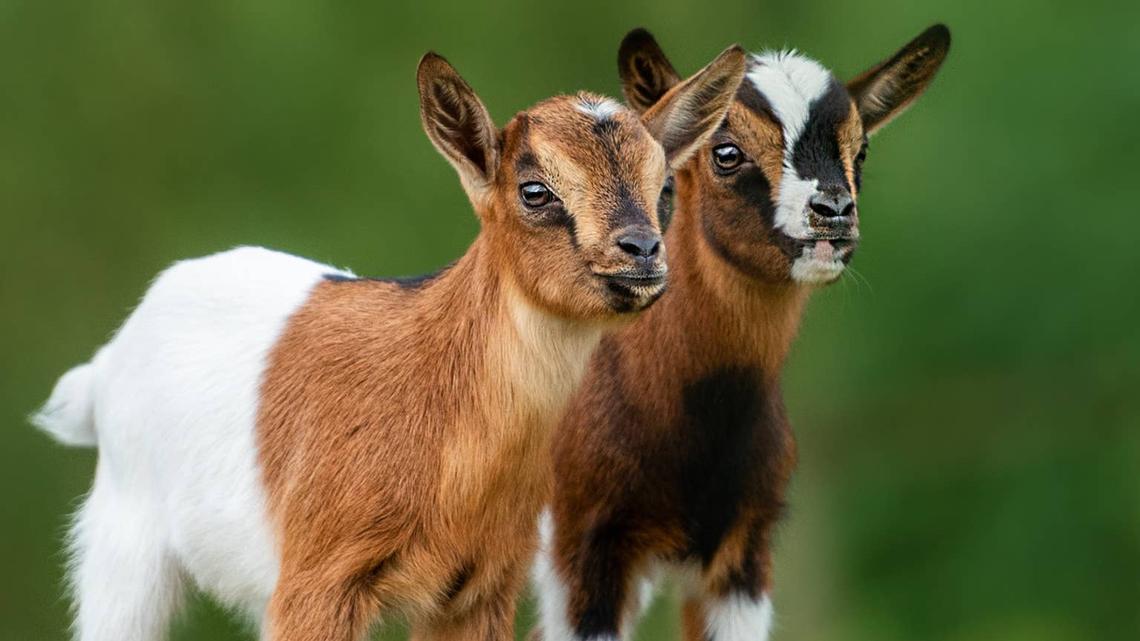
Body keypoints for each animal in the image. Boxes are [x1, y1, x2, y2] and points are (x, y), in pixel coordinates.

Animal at [32, 49, 747, 641]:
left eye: (664, 189)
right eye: (535, 191)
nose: (642, 252)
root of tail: (110, 361)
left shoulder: (478, 591)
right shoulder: (317, 585)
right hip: (125, 551)